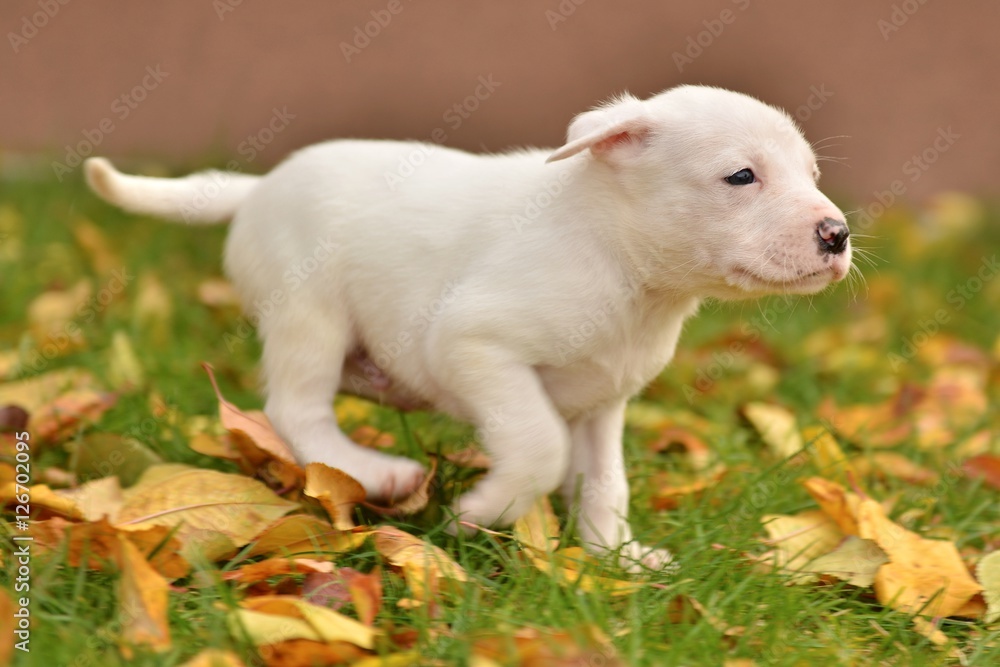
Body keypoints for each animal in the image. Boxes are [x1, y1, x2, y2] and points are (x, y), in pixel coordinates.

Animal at [84, 86, 852, 568]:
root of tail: (258, 187)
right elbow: (540, 447)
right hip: (311, 318)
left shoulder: (603, 403)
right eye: (741, 176)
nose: (837, 235)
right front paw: (483, 511)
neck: (618, 258)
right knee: (295, 409)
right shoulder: (473, 345)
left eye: (812, 173)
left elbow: (605, 482)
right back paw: (377, 472)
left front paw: (616, 556)